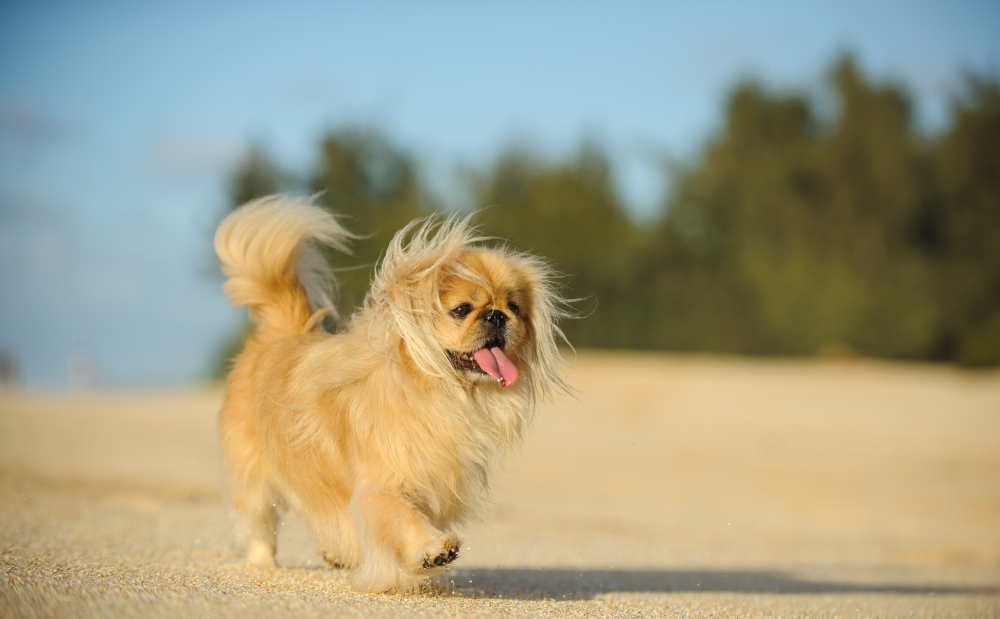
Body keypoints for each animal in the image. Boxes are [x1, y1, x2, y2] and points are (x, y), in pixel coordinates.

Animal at [214, 196, 568, 592]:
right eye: (462, 310)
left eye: (515, 308)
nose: (496, 315)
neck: (439, 393)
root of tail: (279, 336)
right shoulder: (382, 487)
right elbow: (401, 518)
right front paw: (433, 550)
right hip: (252, 479)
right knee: (259, 527)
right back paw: (264, 566)